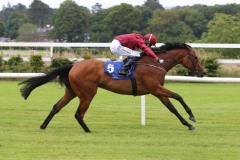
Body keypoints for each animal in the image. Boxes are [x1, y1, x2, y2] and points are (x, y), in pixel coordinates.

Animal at [19, 42, 205, 132]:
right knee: (78, 114)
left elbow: (172, 108)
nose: (202, 72)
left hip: (72, 92)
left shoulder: (157, 92)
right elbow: (179, 96)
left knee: (56, 107)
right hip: (87, 93)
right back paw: (88, 130)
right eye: (195, 57)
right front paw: (192, 116)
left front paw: (189, 124)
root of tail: (74, 65)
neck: (155, 64)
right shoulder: (155, 89)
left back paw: (43, 126)